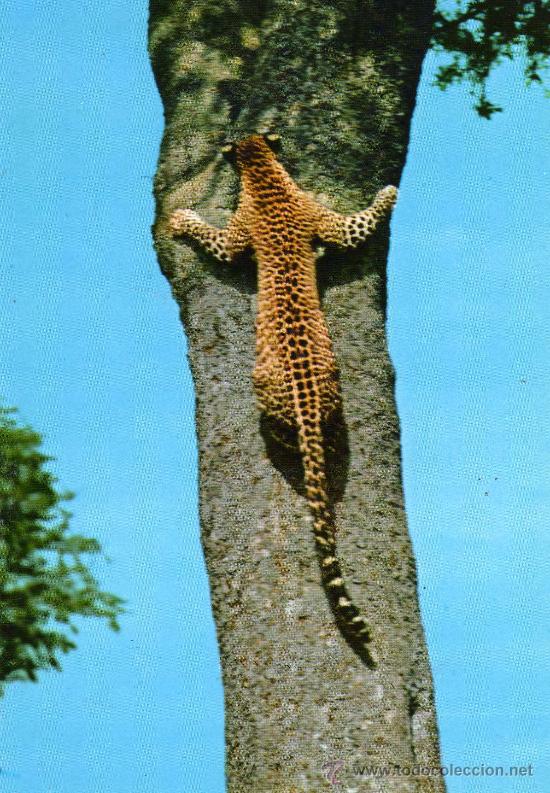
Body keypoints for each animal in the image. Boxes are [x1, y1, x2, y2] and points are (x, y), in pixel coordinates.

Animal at [169, 133, 397, 667]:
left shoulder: (240, 237)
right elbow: (356, 227)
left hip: (270, 393)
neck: (264, 174)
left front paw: (181, 218)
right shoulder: (321, 223)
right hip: (331, 396)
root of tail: (307, 402)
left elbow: (215, 237)